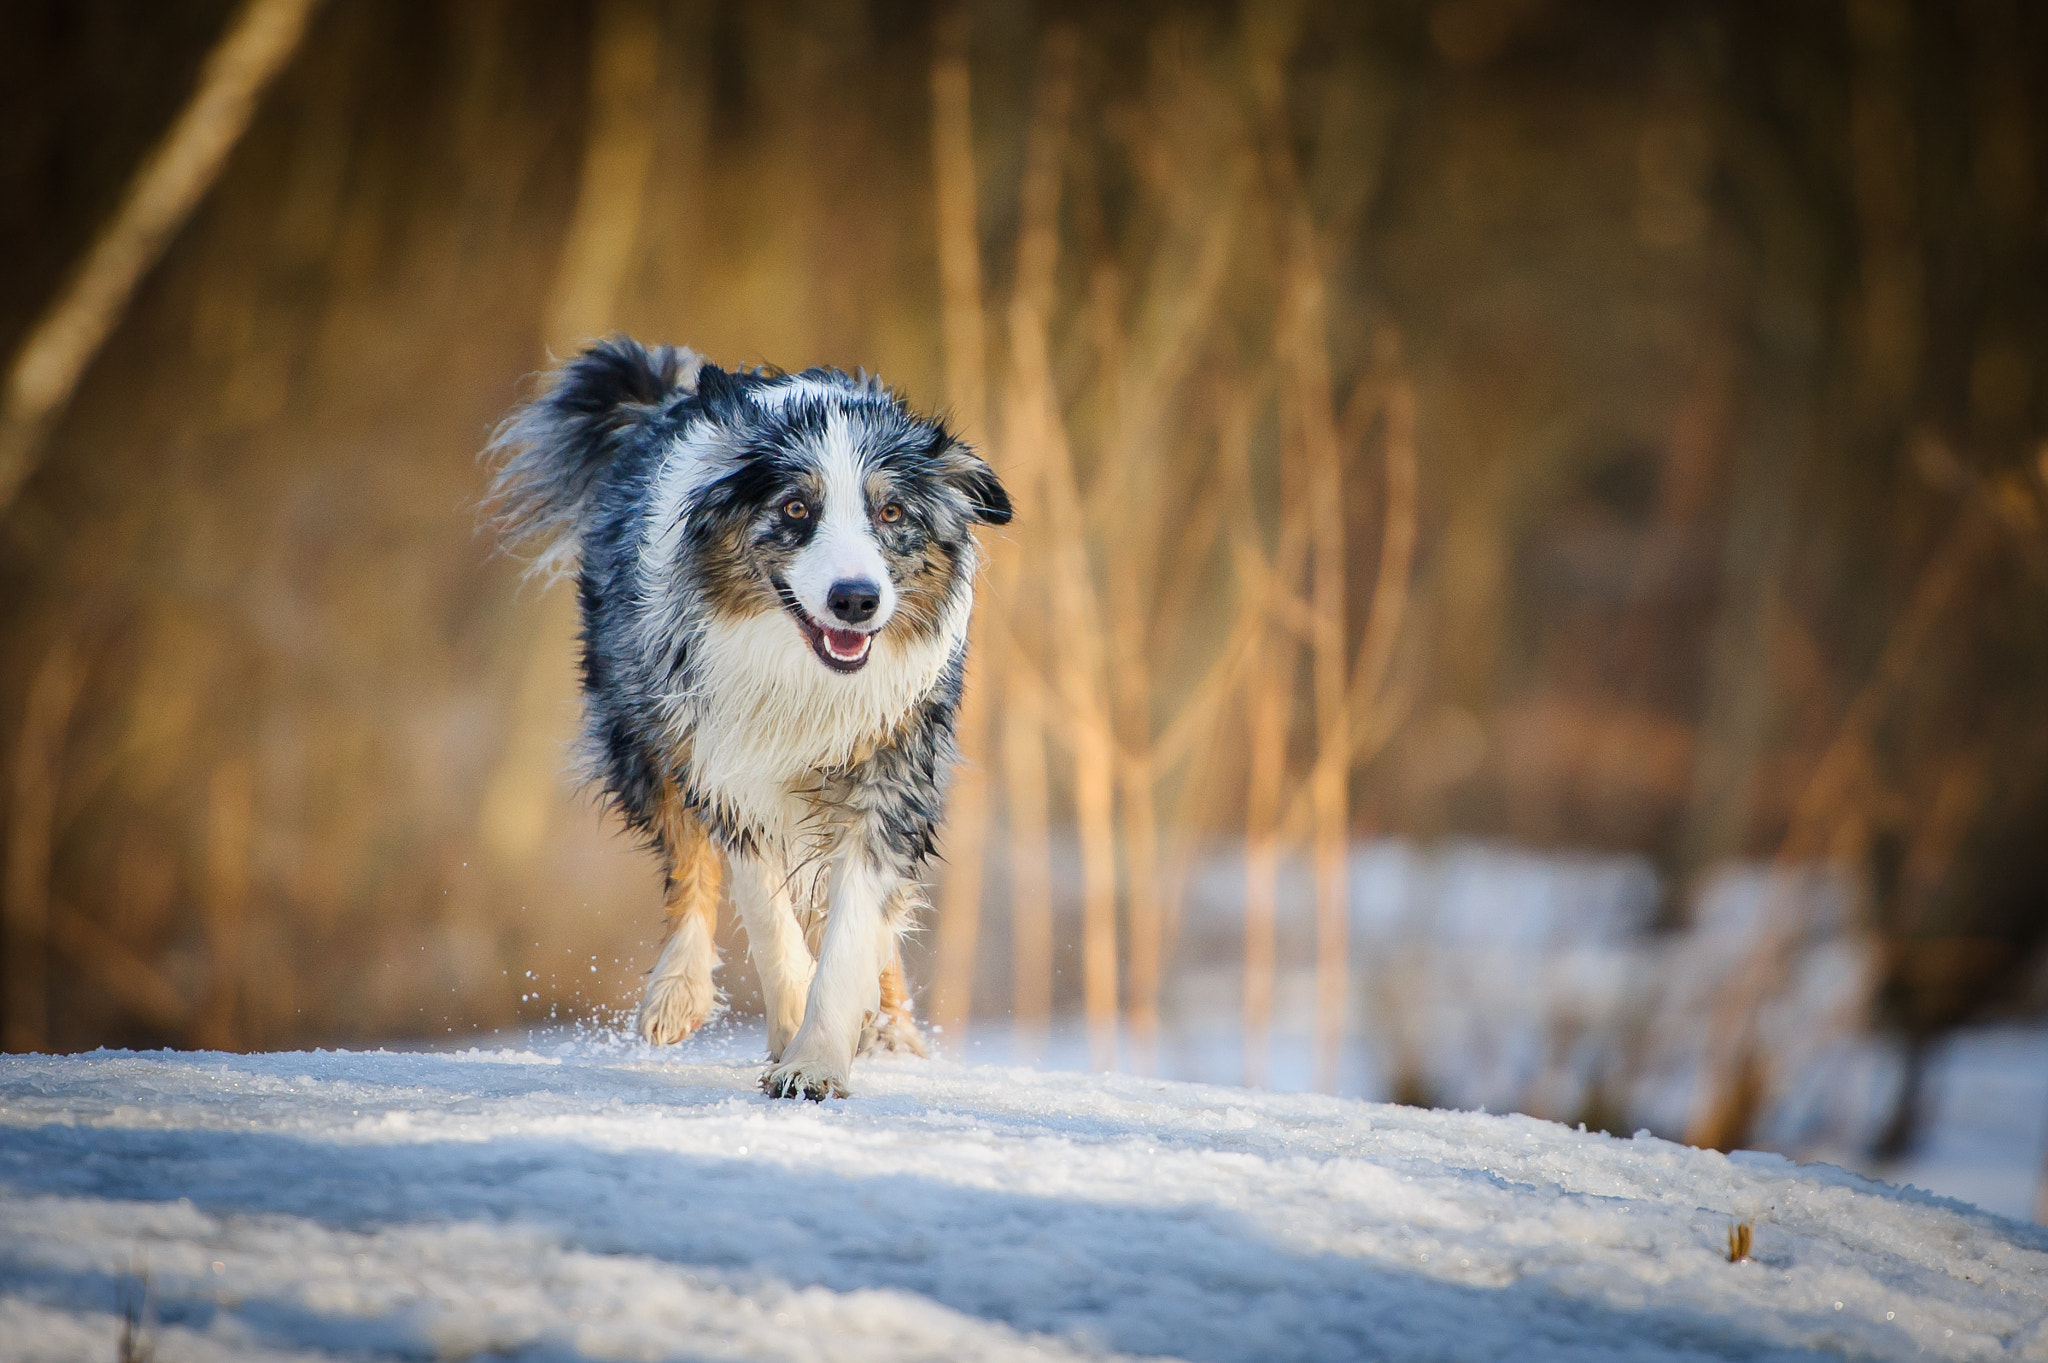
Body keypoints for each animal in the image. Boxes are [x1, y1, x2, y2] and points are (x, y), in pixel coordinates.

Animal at [489, 337, 1015, 1096]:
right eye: (795, 508)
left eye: (891, 514)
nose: (856, 599)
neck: (805, 676)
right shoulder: (725, 762)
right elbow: (762, 908)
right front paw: (790, 1021)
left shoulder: (893, 770)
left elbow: (855, 926)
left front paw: (817, 1058)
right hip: (640, 728)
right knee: (688, 860)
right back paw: (677, 991)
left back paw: (892, 1030)